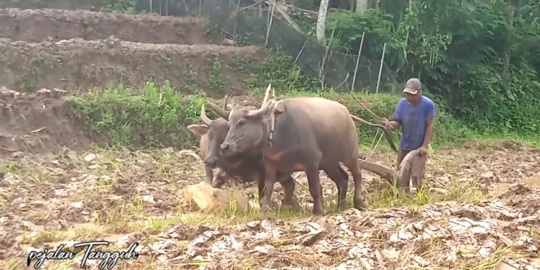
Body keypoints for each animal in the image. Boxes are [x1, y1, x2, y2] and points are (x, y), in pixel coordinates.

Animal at [210, 92, 396, 215]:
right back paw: (341, 205)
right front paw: (265, 209)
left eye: (242, 122)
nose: (225, 147)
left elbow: (315, 187)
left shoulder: (311, 163)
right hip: (329, 163)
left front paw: (318, 210)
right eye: (230, 123)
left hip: (350, 155)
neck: (277, 131)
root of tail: (348, 115)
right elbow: (268, 189)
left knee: (357, 174)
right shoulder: (270, 164)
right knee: (342, 179)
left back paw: (359, 202)